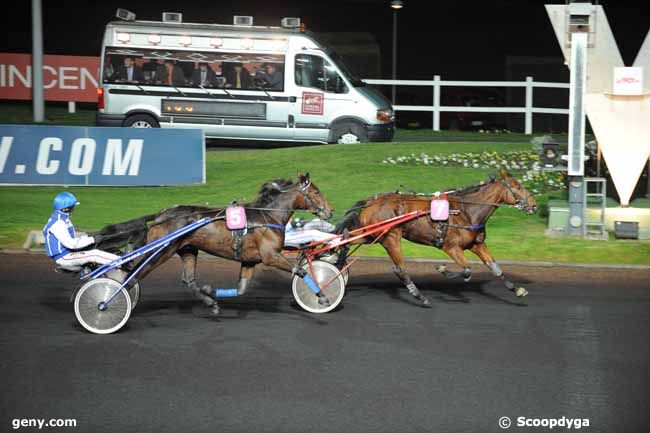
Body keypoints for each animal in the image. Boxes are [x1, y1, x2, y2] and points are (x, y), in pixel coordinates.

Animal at [95, 172, 334, 314]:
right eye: (315, 192)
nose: (330, 211)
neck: (268, 216)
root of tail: (162, 215)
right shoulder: (270, 256)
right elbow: (300, 271)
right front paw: (322, 296)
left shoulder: (250, 261)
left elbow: (241, 289)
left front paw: (212, 292)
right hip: (161, 251)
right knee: (132, 276)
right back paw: (108, 301)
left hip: (187, 250)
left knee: (188, 280)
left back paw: (209, 301)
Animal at [334, 169, 536, 308]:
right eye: (518, 187)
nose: (534, 205)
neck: (466, 212)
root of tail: (371, 201)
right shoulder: (451, 247)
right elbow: (467, 270)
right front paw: (443, 269)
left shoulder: (477, 244)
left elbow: (496, 268)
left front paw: (517, 289)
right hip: (391, 237)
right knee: (399, 269)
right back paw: (420, 297)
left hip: (372, 235)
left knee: (346, 240)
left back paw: (338, 263)